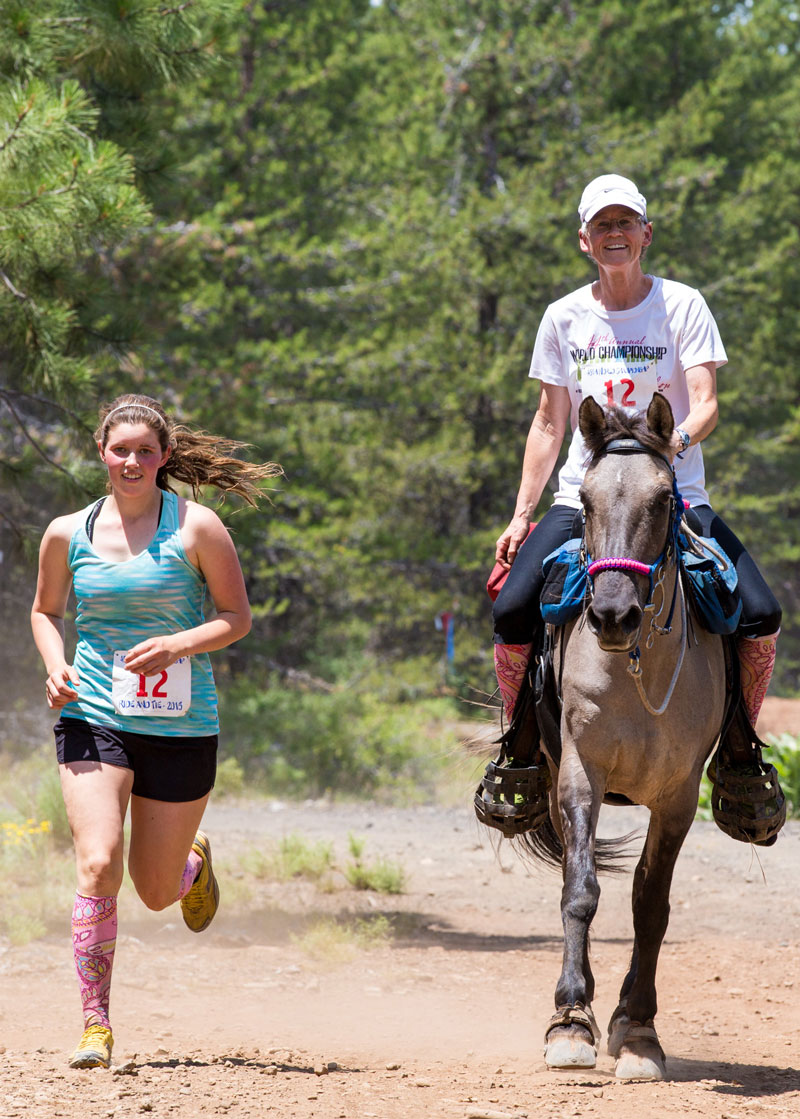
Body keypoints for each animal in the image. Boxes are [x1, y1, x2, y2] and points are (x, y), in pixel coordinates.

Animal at [534, 396, 729, 1083]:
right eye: (587, 502)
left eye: (665, 500)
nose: (612, 615)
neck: (635, 667)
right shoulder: (579, 774)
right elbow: (581, 891)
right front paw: (570, 1020)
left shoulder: (677, 797)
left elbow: (651, 903)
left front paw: (638, 1028)